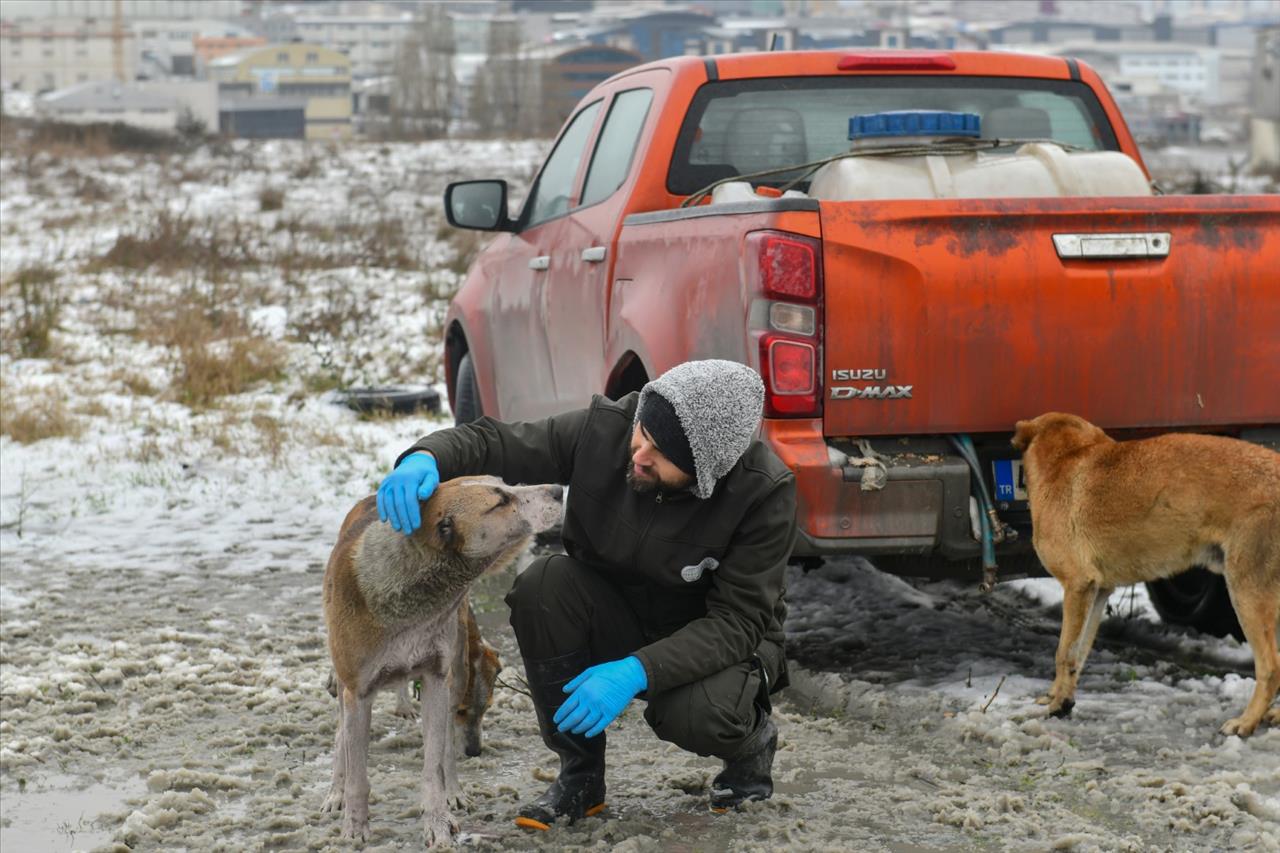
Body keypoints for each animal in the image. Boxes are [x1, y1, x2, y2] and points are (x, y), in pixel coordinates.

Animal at [322, 473, 563, 840]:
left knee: (446, 747)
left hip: (458, 671)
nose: (559, 490)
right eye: (500, 501)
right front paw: (355, 825)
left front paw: (437, 820)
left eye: (505, 483)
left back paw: (454, 793)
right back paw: (336, 790)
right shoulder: (357, 692)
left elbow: (434, 763)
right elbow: (357, 772)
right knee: (342, 738)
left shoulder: (436, 679)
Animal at [1013, 409, 1274, 732]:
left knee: (1270, 668)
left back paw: (1247, 722)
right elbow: (1080, 653)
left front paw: (1058, 704)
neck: (1066, 457)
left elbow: (1065, 652)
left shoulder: (1077, 587)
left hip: (1246, 594)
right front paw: (1062, 697)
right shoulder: (1097, 592)